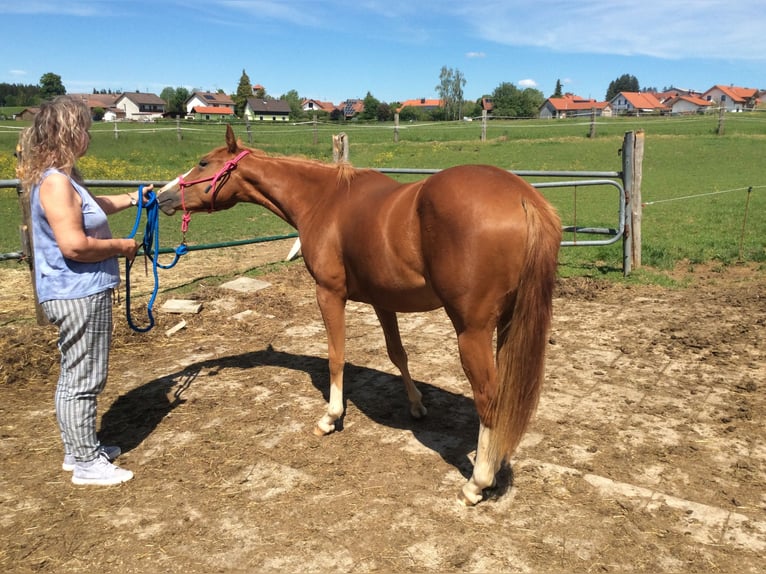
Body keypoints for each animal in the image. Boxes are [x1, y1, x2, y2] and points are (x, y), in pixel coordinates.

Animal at [158, 125, 564, 504]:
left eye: (203, 163)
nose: (161, 196)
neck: (324, 200)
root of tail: (524, 198)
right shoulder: (383, 301)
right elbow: (397, 353)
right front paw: (416, 405)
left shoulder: (329, 294)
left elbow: (336, 357)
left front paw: (330, 417)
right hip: (508, 324)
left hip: (472, 331)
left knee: (489, 398)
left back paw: (477, 482)